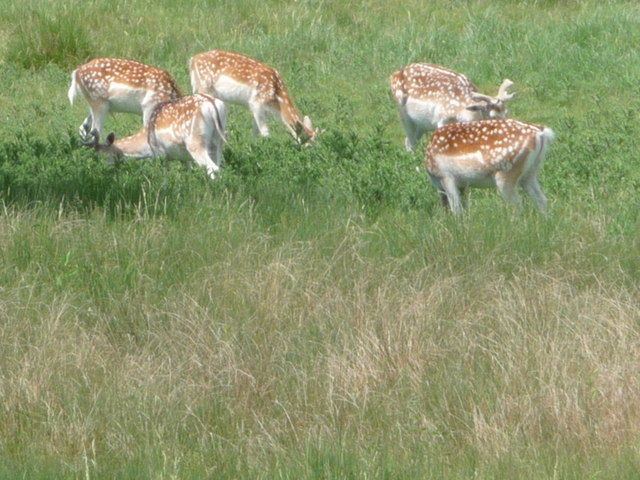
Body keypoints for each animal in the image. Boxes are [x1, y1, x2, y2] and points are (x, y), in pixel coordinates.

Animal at [82, 94, 228, 180]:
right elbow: (188, 171)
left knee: (212, 167)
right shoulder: (183, 157)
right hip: (218, 142)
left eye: (100, 155)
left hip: (195, 142)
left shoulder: (161, 153)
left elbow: (165, 177)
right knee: (218, 165)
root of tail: (212, 104)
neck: (147, 143)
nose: (101, 171)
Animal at [388, 62, 516, 152]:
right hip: (403, 113)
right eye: (493, 116)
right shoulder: (442, 120)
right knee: (410, 141)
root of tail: (394, 75)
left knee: (409, 140)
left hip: (422, 124)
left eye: (507, 112)